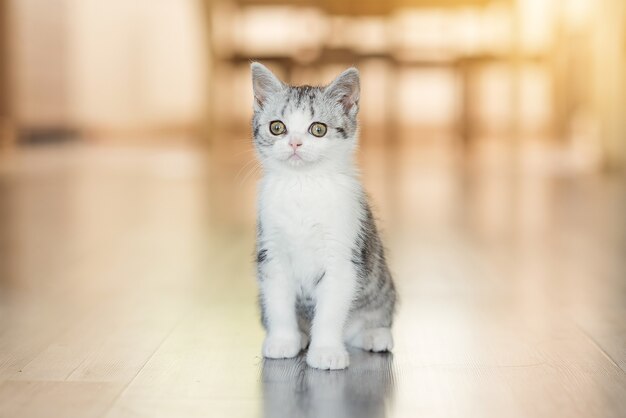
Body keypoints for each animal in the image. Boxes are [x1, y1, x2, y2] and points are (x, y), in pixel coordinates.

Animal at [250, 62, 392, 370]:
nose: (294, 143)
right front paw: (283, 340)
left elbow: (331, 309)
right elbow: (278, 301)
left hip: (380, 287)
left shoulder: (342, 255)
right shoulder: (272, 252)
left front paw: (326, 350)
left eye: (318, 129)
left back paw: (375, 335)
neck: (304, 186)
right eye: (277, 127)